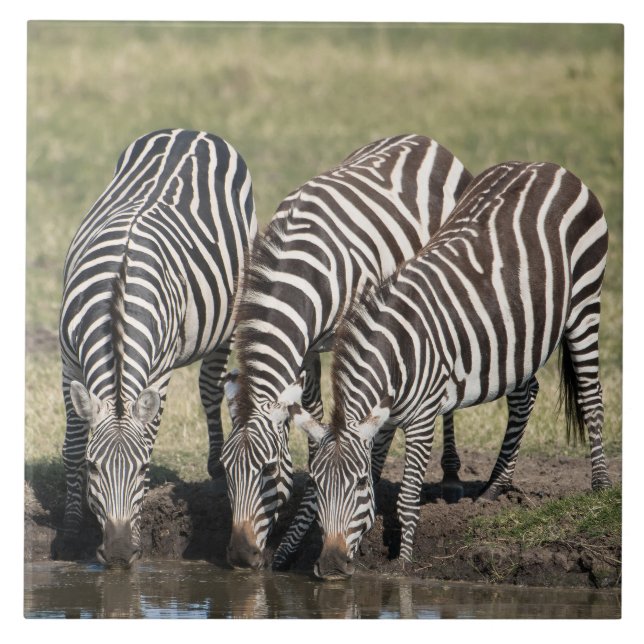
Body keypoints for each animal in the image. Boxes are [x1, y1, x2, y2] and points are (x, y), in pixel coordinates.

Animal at [58, 128, 256, 567]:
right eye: (93, 469)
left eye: (142, 469)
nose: (118, 555)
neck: (116, 303)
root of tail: (190, 131)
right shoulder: (68, 362)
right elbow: (73, 442)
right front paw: (69, 528)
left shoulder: (159, 372)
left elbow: (149, 432)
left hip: (230, 316)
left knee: (210, 386)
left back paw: (217, 467)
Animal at [219, 134, 474, 570]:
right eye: (225, 470)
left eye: (268, 471)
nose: (238, 557)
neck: (301, 271)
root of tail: (422, 139)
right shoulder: (305, 350)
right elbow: (312, 419)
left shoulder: (351, 336)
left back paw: (453, 476)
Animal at [289, 160, 611, 579]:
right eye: (316, 485)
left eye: (356, 485)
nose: (329, 567)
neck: (397, 352)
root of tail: (547, 166)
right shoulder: (384, 419)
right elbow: (377, 470)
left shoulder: (422, 417)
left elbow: (407, 496)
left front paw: (403, 562)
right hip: (518, 336)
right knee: (525, 395)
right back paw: (496, 486)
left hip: (585, 299)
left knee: (591, 395)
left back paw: (601, 485)